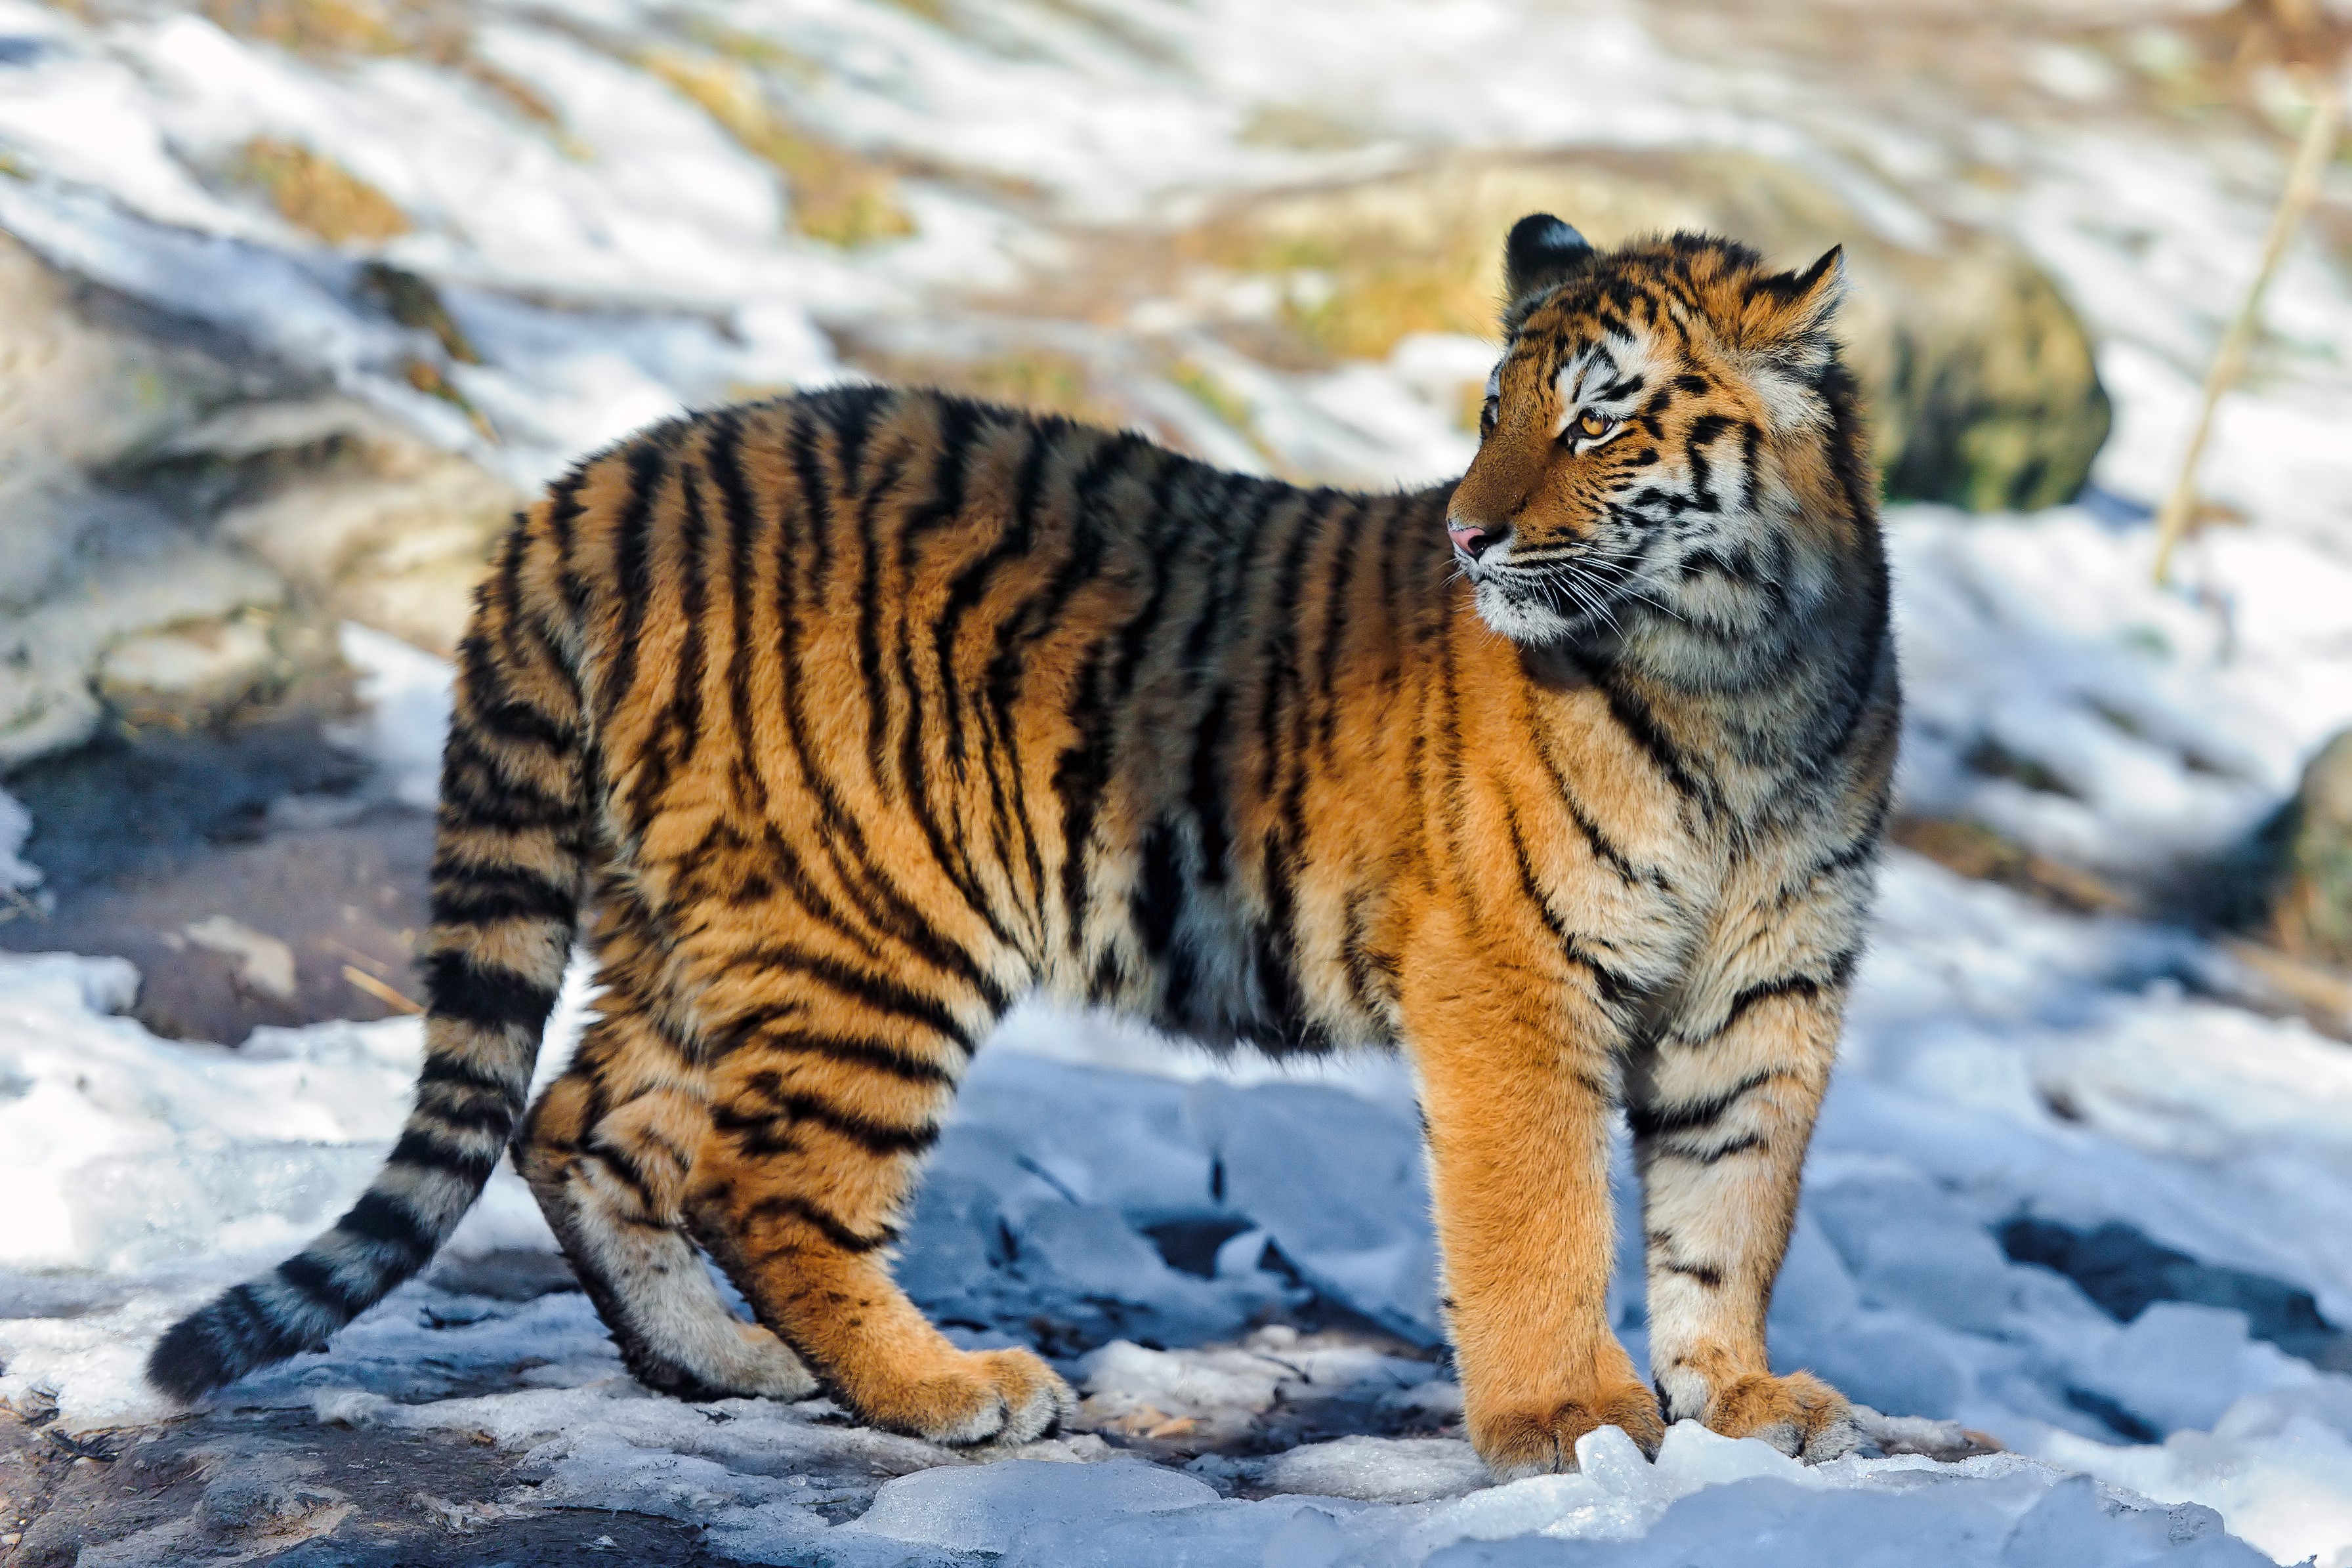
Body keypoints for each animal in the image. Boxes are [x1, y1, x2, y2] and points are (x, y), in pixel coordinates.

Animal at [149, 215, 1896, 1480]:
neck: (1742, 678)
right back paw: (945, 1388)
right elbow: (1542, 1216)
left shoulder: (1768, 988)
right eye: (1489, 416)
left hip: (695, 915)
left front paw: (1739, 1402)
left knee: (584, 1123)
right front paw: (1570, 1422)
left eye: (1598, 419)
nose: (1467, 534)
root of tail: (601, 480)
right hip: (876, 920)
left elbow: (1732, 1208)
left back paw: (720, 1366)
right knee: (764, 1175)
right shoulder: (1512, 975)